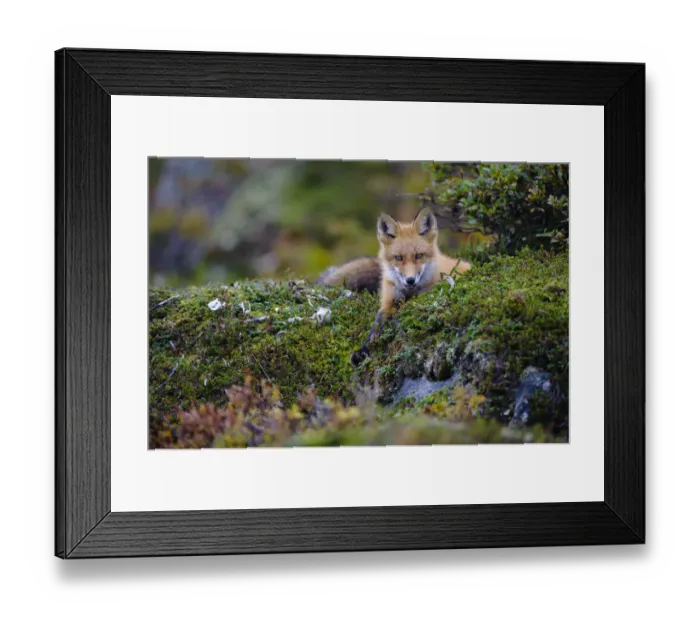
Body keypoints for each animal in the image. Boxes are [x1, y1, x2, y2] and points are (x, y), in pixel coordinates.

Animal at [318, 207, 471, 364]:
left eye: (419, 255)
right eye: (398, 257)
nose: (410, 280)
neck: (409, 293)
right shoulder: (388, 302)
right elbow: (375, 327)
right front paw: (362, 350)